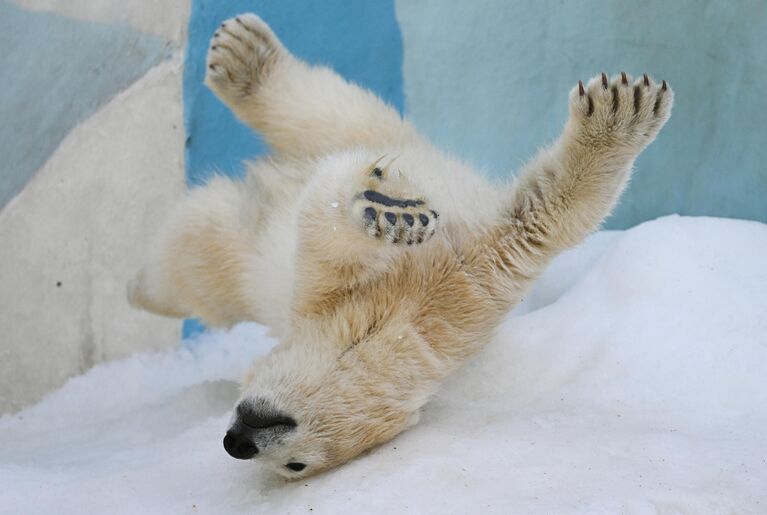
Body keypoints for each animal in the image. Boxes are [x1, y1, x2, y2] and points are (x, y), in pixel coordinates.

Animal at [129, 13, 676, 480]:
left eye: (295, 466)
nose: (235, 441)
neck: (403, 309)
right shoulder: (337, 294)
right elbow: (324, 235)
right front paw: (392, 213)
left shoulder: (479, 276)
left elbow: (540, 213)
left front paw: (616, 119)